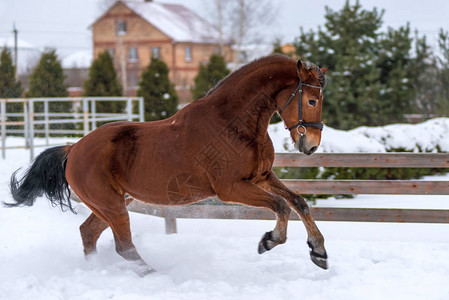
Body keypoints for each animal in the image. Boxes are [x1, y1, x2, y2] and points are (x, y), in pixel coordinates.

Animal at [6, 54, 328, 276]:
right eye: (312, 100)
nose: (311, 145)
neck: (233, 124)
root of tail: (73, 150)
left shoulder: (262, 176)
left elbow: (299, 202)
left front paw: (319, 251)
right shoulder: (231, 188)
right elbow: (281, 206)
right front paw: (269, 241)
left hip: (112, 203)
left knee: (89, 233)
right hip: (111, 205)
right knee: (123, 245)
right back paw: (152, 274)